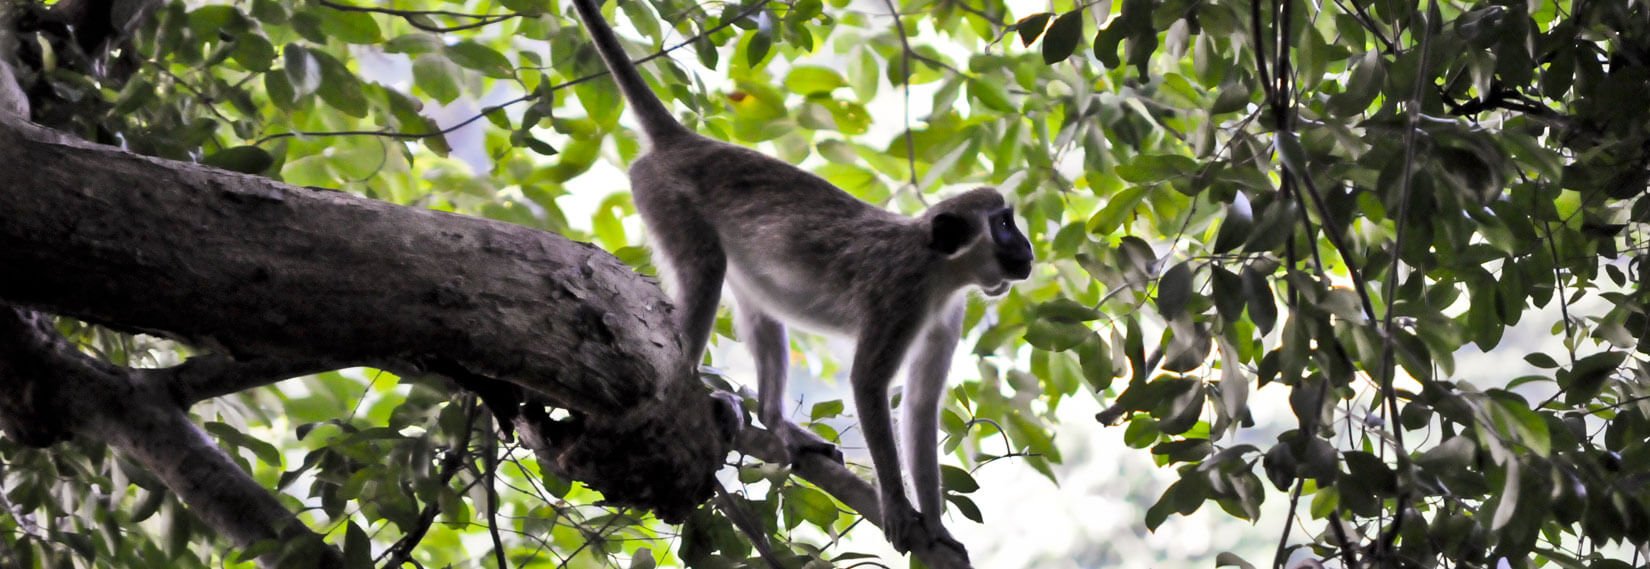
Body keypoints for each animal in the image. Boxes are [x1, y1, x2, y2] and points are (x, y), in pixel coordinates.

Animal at [568, 0, 1034, 556]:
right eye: (1003, 224)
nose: (1027, 248)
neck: (939, 269)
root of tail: (686, 142)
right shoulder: (901, 295)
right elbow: (868, 383)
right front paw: (898, 505)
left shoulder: (948, 311)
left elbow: (921, 406)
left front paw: (937, 526)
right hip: (663, 196)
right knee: (704, 270)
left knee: (756, 303)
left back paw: (774, 420)